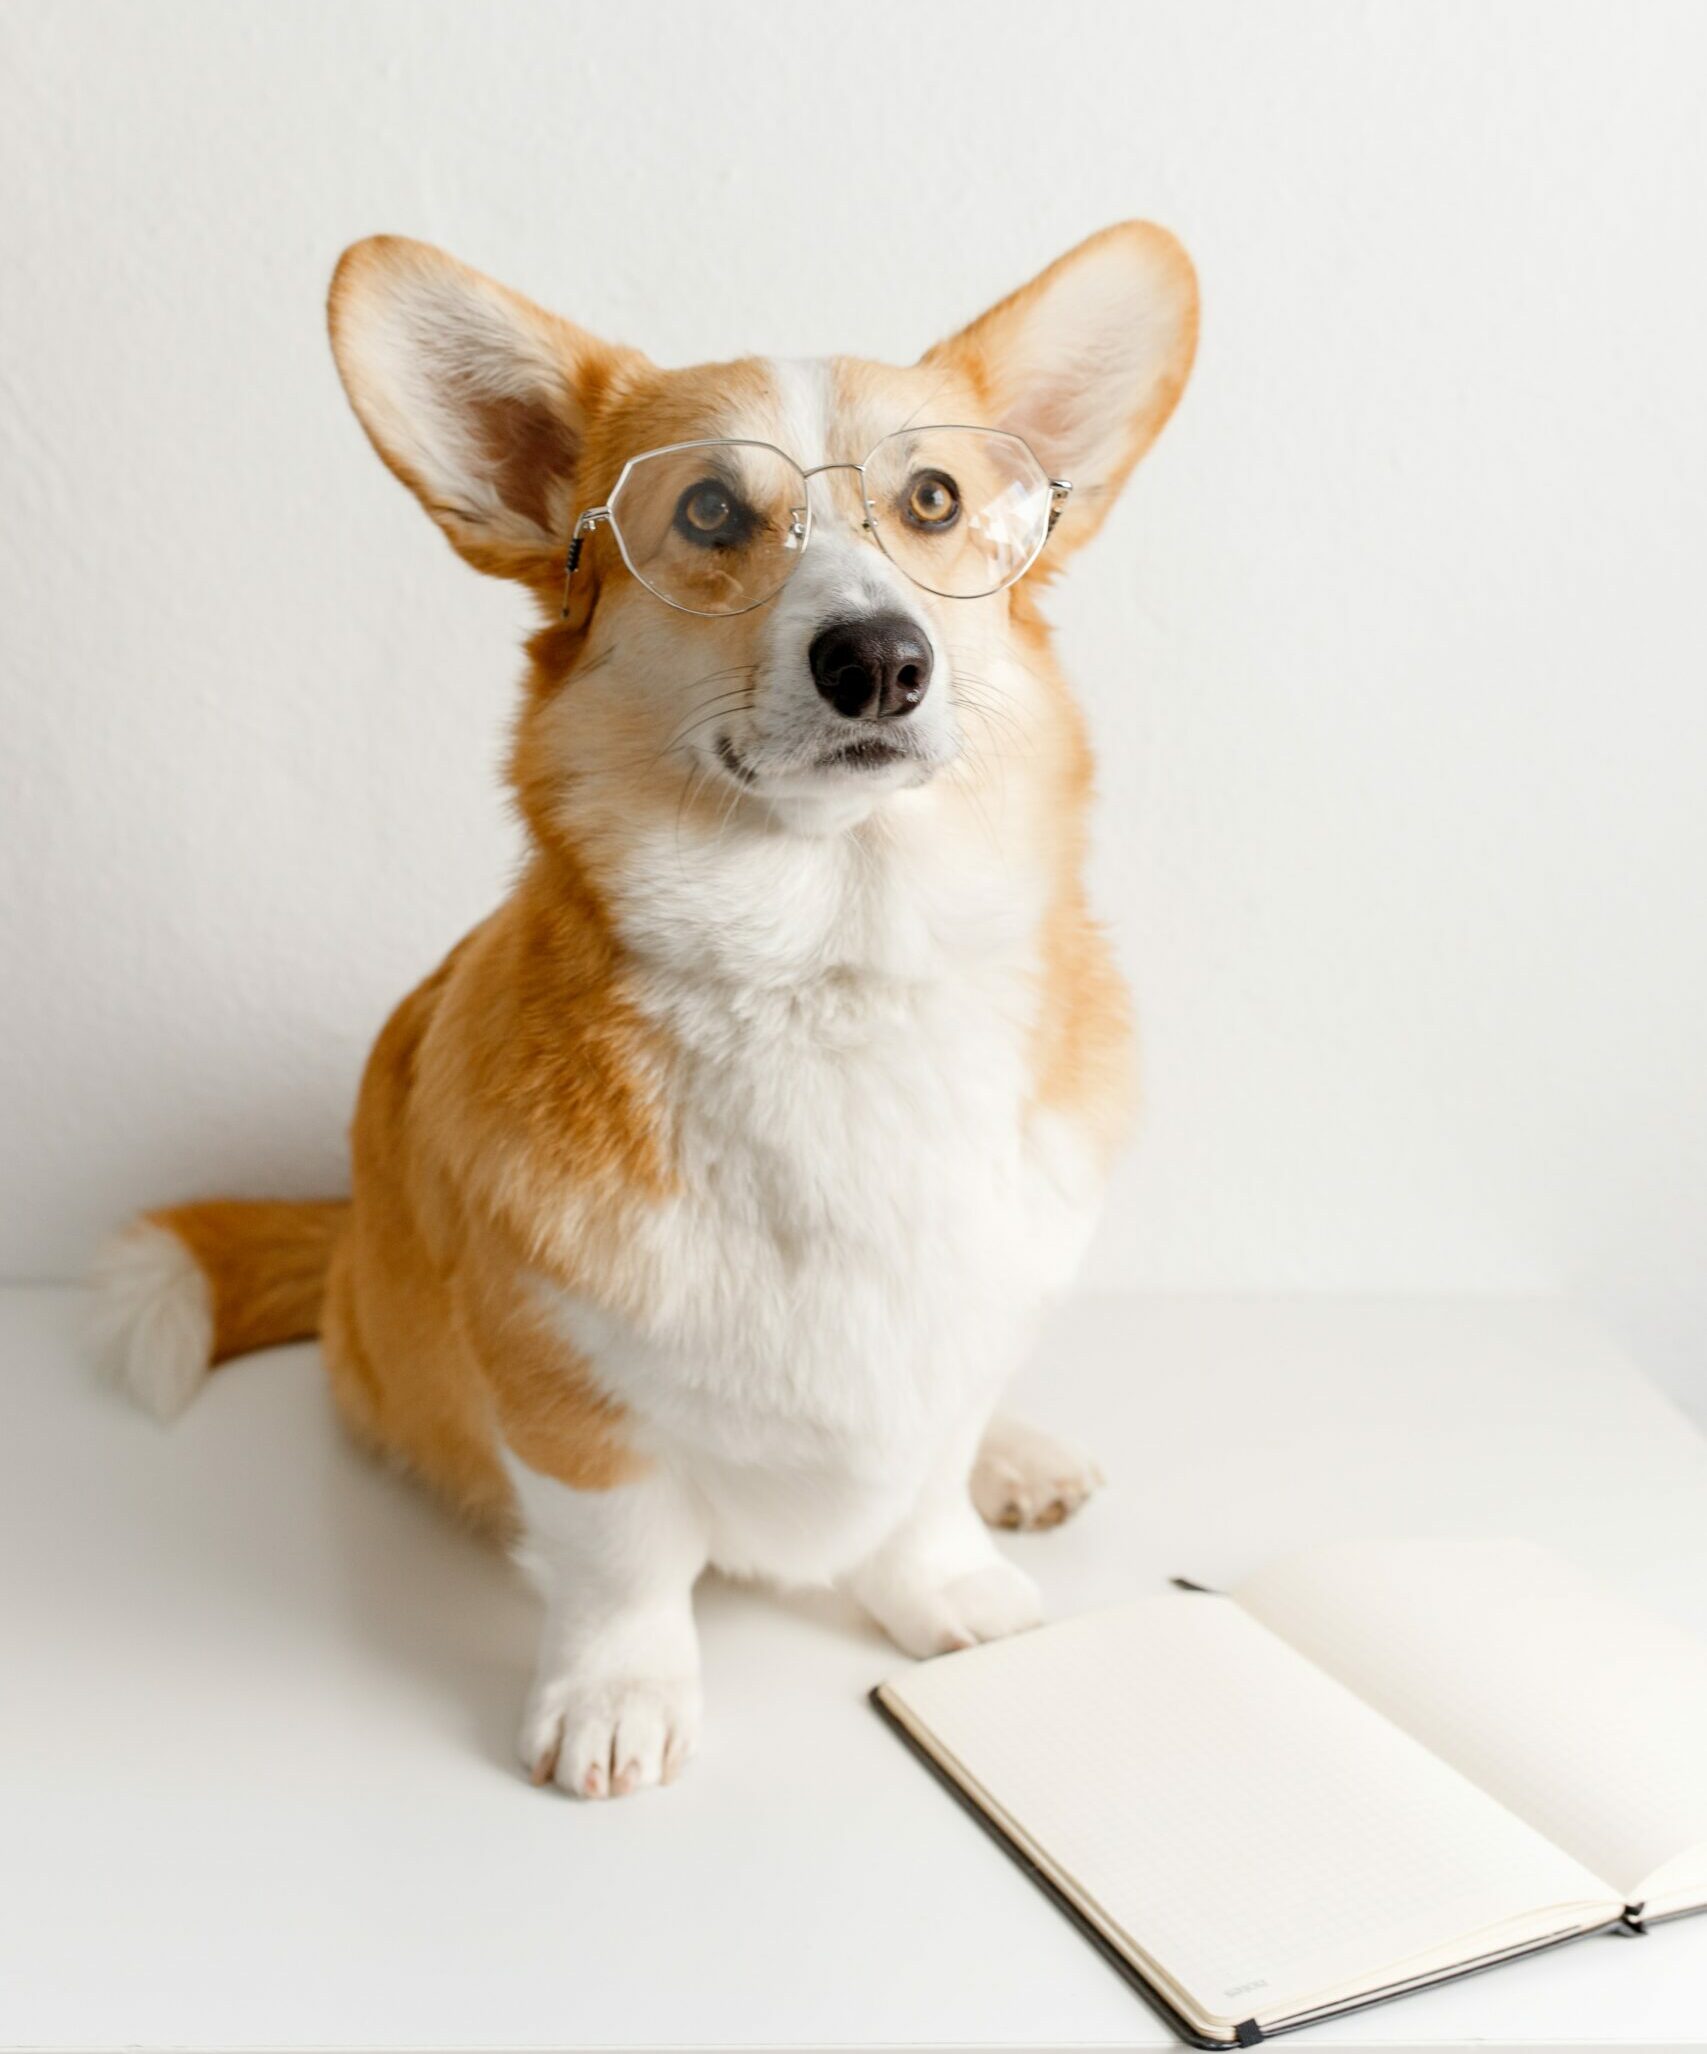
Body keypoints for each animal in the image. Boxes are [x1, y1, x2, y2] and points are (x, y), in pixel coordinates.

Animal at [86, 224, 1191, 1799]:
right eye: (711, 506)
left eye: (933, 498)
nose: (879, 659)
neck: (831, 968)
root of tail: (343, 1240)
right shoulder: (564, 1388)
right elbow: (623, 1556)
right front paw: (617, 1699)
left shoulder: (961, 1328)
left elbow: (922, 1480)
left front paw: (948, 1587)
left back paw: (1021, 1459)